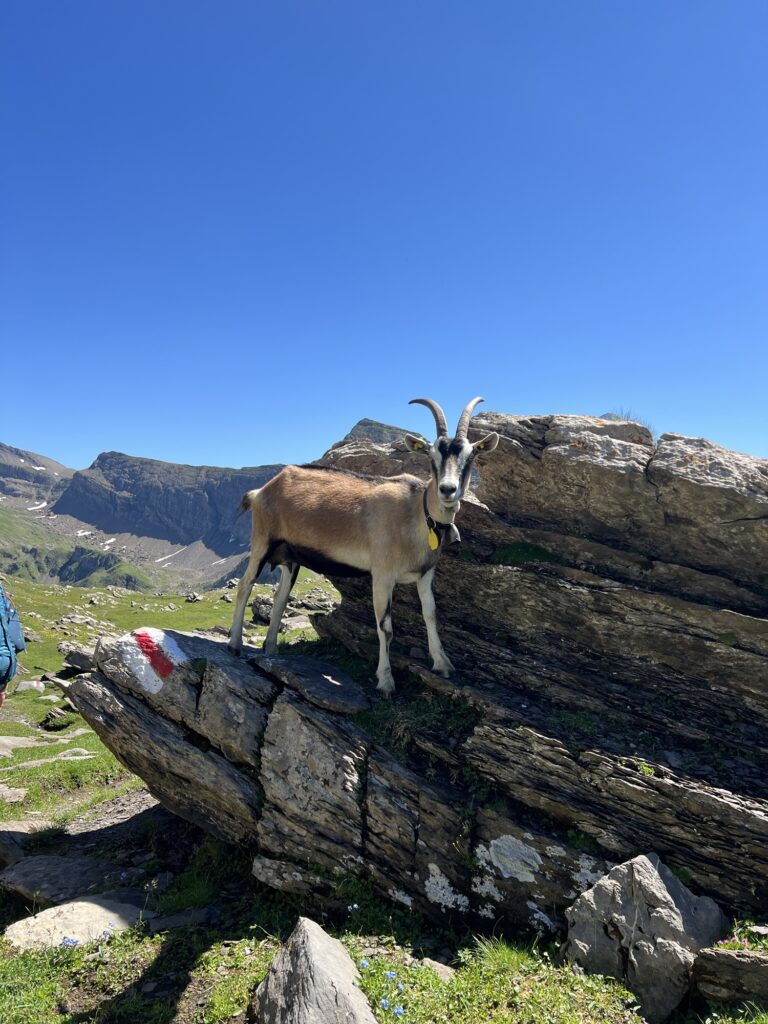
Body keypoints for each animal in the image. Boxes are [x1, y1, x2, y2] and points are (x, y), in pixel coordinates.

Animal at [228, 397, 499, 695]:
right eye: (431, 456)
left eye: (470, 456)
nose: (448, 490)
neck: (417, 512)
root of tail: (261, 492)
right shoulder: (382, 575)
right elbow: (385, 627)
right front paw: (386, 681)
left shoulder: (425, 573)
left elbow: (431, 614)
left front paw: (442, 664)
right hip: (262, 541)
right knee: (245, 585)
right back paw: (235, 645)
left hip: (291, 557)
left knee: (279, 597)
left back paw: (272, 649)